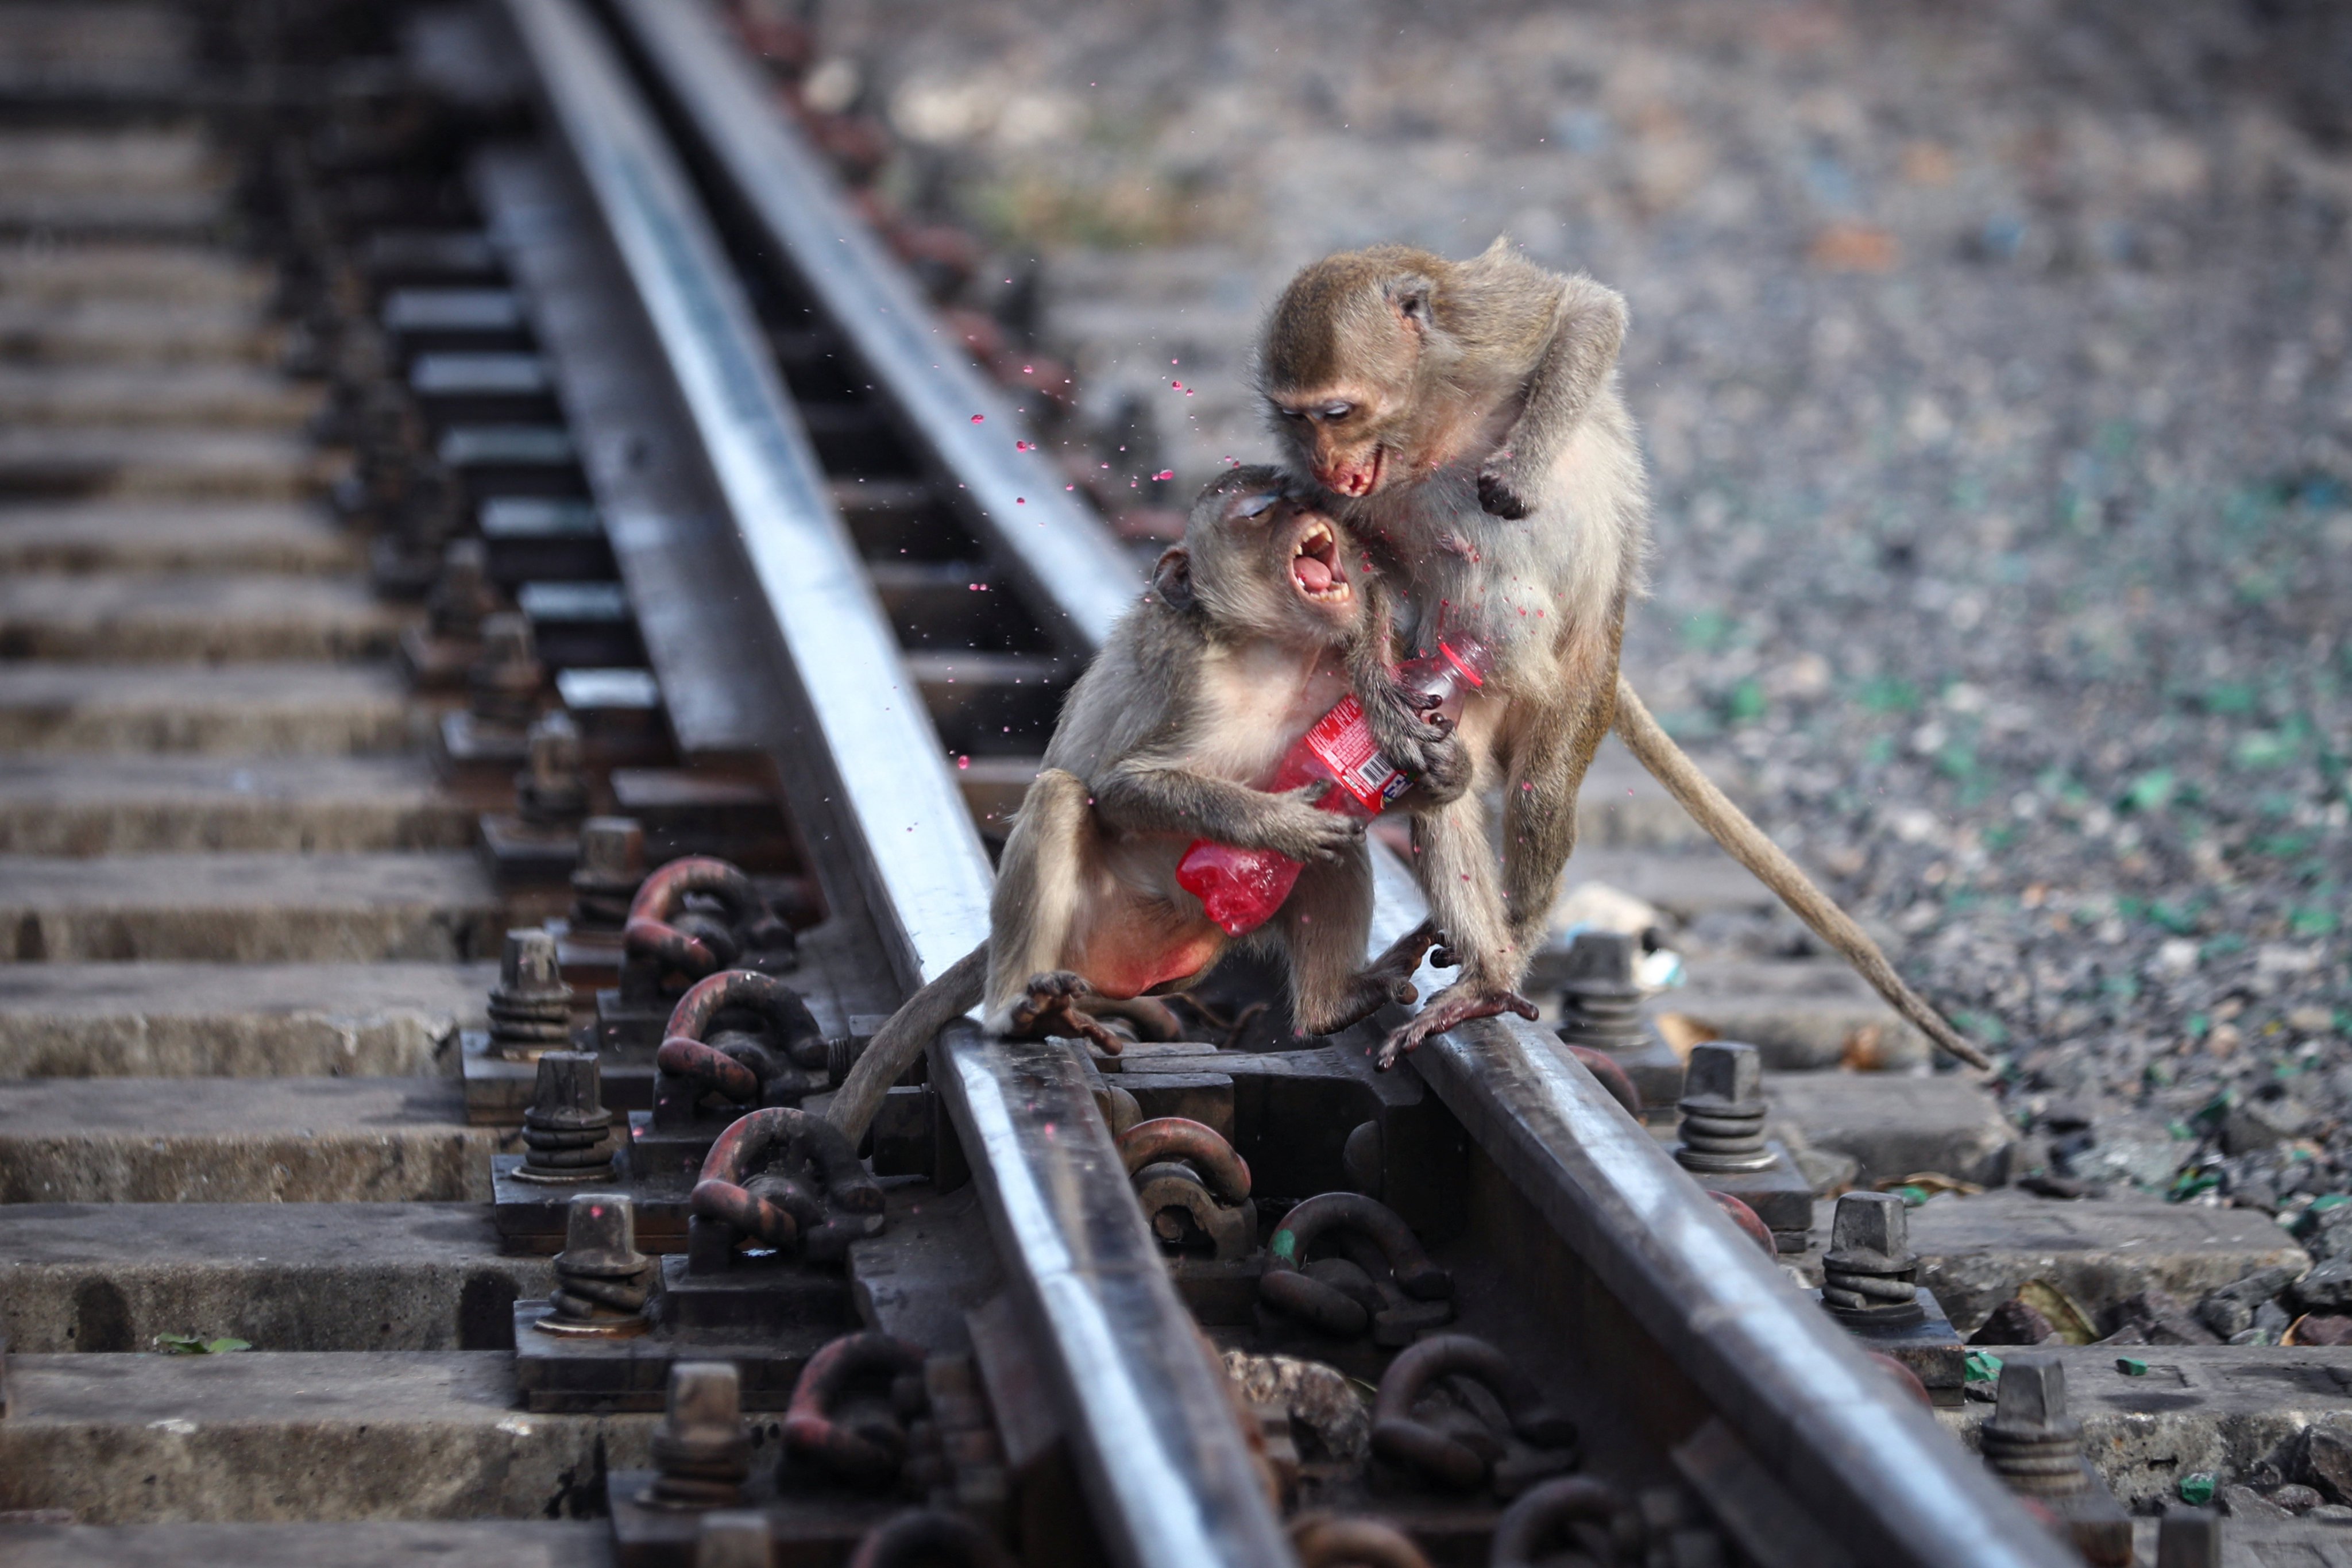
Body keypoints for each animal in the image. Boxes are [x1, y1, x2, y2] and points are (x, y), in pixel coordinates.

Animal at [823, 465, 1449, 1142]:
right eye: (1261, 510)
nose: (1313, 500)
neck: (1274, 653)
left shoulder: (1336, 677)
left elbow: (1369, 782)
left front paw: (1432, 756)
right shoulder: (1185, 677)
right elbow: (1121, 788)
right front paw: (1279, 823)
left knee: (1340, 844)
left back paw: (1336, 1003)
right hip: (1089, 924)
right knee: (1061, 795)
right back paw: (1020, 1013)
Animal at [1260, 242, 1994, 1081]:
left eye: (1338, 412)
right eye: (1297, 418)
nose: (1325, 459)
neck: (1419, 425)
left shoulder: (1473, 324)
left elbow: (1584, 313)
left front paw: (1520, 468)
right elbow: (1355, 571)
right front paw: (1383, 706)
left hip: (1577, 679)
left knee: (1542, 791)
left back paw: (1504, 954)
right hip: (1468, 679)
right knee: (1446, 788)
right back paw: (1483, 963)